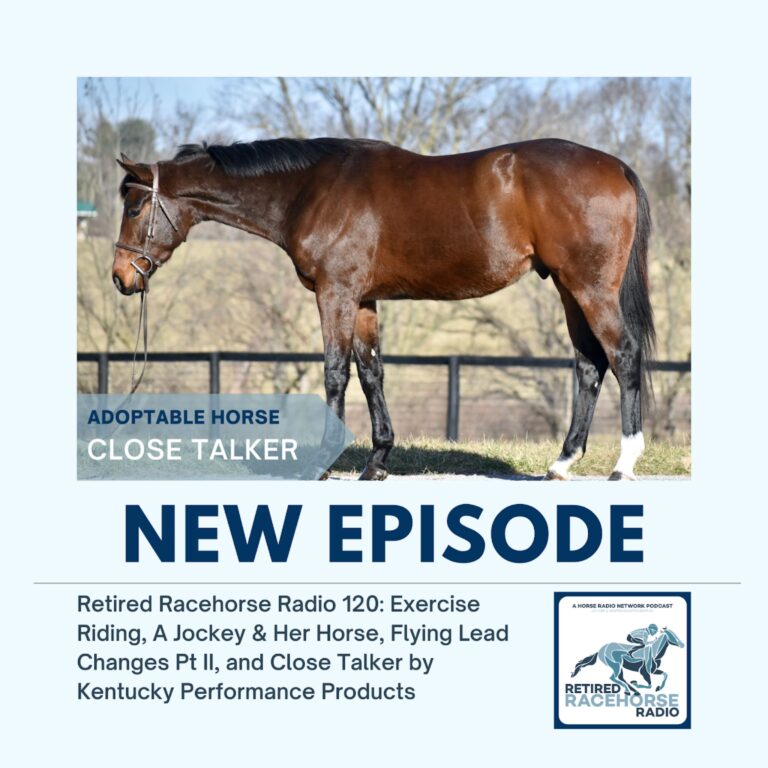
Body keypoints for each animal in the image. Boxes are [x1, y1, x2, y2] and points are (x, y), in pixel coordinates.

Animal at [112, 136, 654, 481]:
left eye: (134, 208)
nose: (121, 277)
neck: (312, 190)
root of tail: (616, 167)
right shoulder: (364, 300)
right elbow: (372, 372)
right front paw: (377, 463)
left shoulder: (335, 293)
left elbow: (335, 373)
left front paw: (324, 463)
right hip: (568, 288)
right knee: (589, 364)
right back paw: (562, 463)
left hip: (589, 287)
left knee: (623, 355)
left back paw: (624, 464)